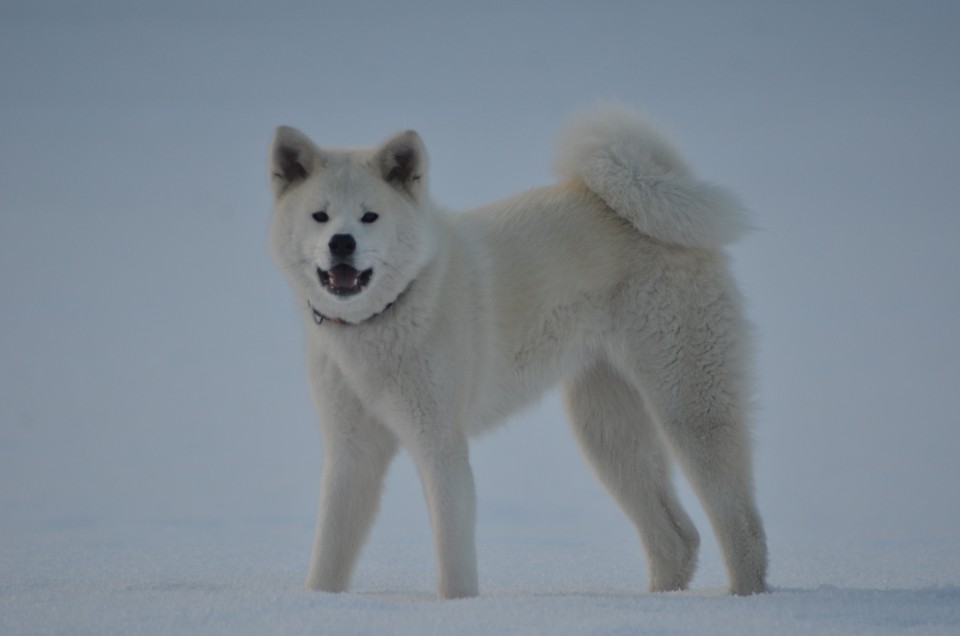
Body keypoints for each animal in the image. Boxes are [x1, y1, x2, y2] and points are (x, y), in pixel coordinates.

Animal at [268, 103, 764, 596]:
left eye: (369, 216)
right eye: (319, 216)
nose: (341, 243)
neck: (383, 316)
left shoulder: (440, 444)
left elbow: (453, 561)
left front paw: (456, 606)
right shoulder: (350, 455)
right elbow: (328, 556)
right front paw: (318, 602)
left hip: (689, 410)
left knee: (743, 526)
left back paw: (744, 598)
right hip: (606, 431)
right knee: (677, 538)